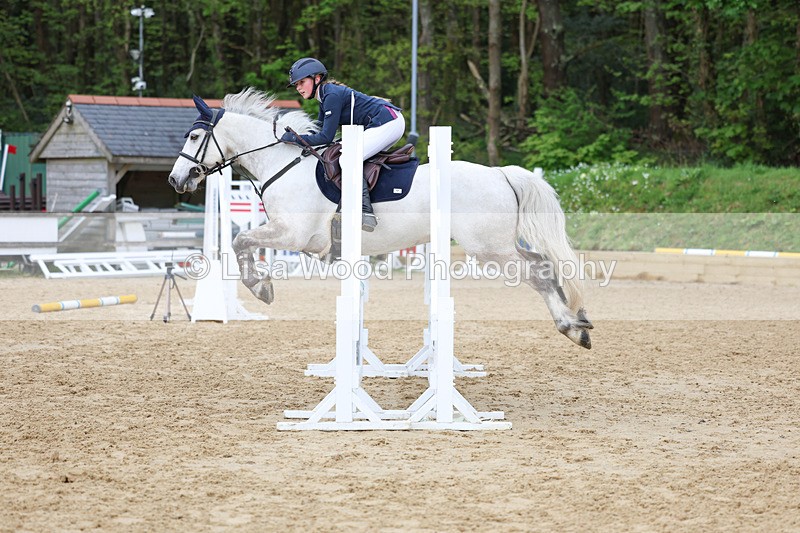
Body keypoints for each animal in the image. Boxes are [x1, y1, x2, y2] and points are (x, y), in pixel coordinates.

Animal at [168, 88, 593, 349]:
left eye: (194, 137)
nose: (176, 179)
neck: (280, 161)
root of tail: (500, 173)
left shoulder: (292, 234)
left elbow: (241, 241)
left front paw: (261, 289)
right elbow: (243, 242)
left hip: (489, 248)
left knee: (537, 274)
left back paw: (571, 328)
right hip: (499, 245)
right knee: (544, 265)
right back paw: (579, 319)